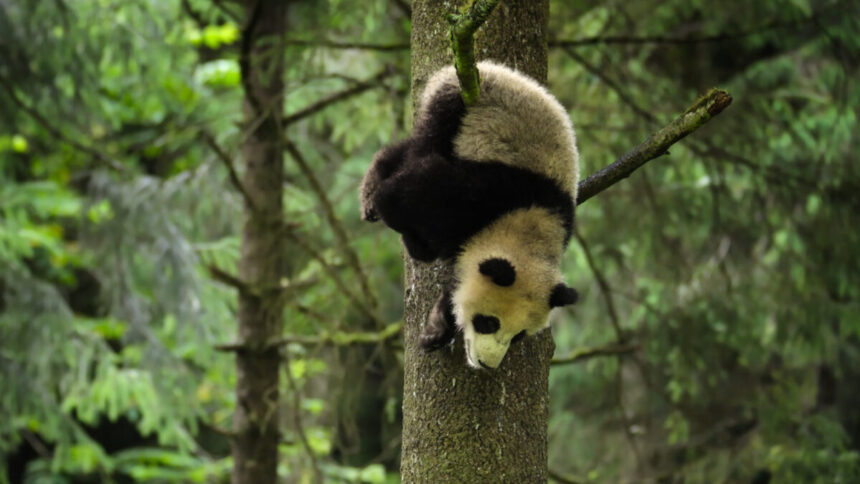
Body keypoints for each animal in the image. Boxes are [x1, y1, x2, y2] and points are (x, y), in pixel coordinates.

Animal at [360, 62, 580, 368]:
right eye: (488, 323)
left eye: (518, 336)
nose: (487, 364)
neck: (529, 221)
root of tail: (489, 67)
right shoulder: (488, 194)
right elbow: (413, 193)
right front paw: (412, 237)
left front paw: (438, 327)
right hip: (456, 106)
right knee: (421, 144)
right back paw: (373, 188)